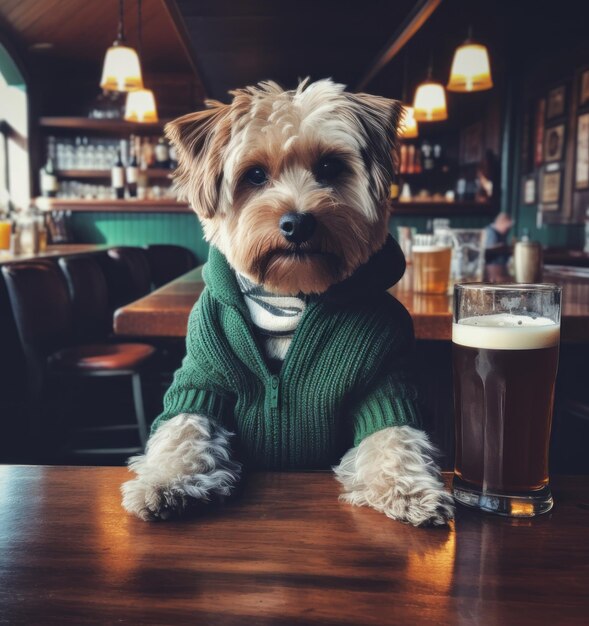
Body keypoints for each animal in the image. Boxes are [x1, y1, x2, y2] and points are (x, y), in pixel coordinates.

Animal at [120, 79, 454, 528]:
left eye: (330, 167)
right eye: (255, 175)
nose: (298, 223)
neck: (288, 298)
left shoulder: (384, 382)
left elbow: (395, 435)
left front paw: (409, 488)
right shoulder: (202, 381)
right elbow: (183, 430)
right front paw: (165, 481)